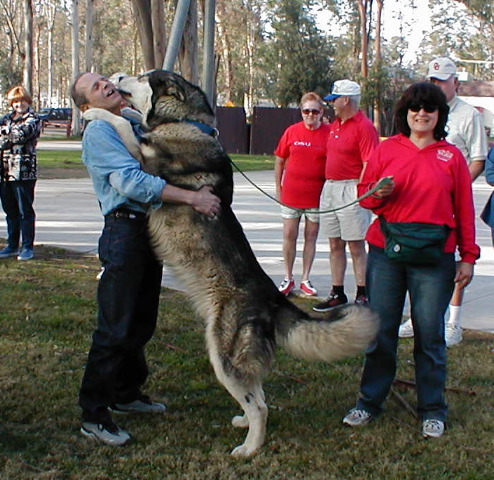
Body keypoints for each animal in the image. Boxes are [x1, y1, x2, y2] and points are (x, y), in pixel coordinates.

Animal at [85, 71, 378, 458]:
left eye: (144, 77)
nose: (115, 76)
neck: (186, 122)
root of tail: (272, 297)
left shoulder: (146, 164)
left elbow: (122, 126)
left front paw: (94, 114)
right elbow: (131, 123)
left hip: (222, 353)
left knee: (260, 405)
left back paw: (249, 448)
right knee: (258, 392)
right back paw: (243, 425)